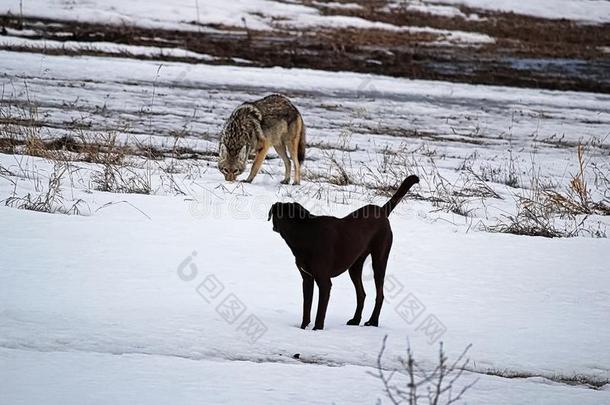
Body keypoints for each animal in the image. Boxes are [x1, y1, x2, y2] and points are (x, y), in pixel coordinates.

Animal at [268, 174, 418, 328]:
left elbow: (320, 313)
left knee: (380, 294)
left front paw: (317, 329)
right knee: (361, 294)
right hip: (355, 266)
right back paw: (355, 320)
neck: (303, 231)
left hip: (379, 259)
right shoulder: (307, 279)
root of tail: (382, 211)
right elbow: (306, 308)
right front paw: (303, 328)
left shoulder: (324, 282)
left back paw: (373, 321)